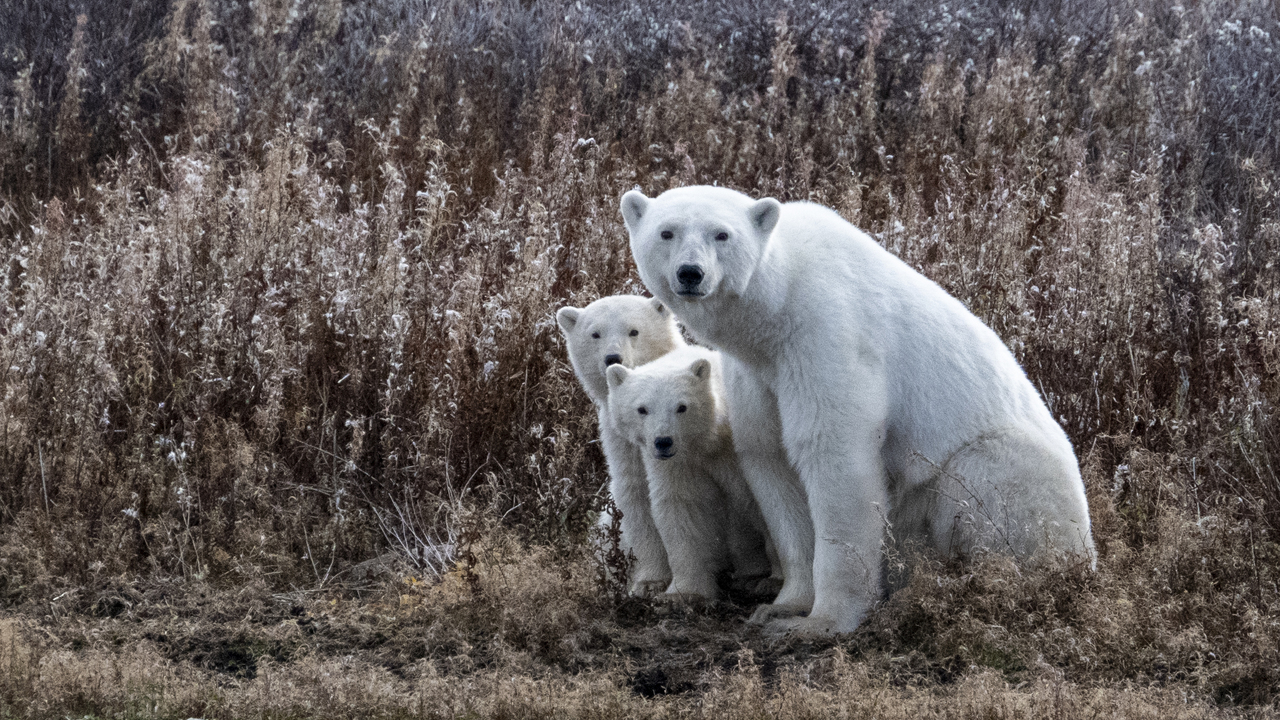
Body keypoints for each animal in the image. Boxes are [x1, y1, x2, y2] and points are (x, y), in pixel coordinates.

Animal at [556, 295, 685, 596]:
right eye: (595, 334)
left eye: (634, 331)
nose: (612, 358)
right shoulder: (622, 439)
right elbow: (635, 493)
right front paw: (648, 582)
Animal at [606, 345, 778, 601]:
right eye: (642, 409)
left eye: (682, 407)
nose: (663, 442)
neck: (710, 441)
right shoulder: (679, 464)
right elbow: (682, 507)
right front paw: (682, 594)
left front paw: (772, 581)